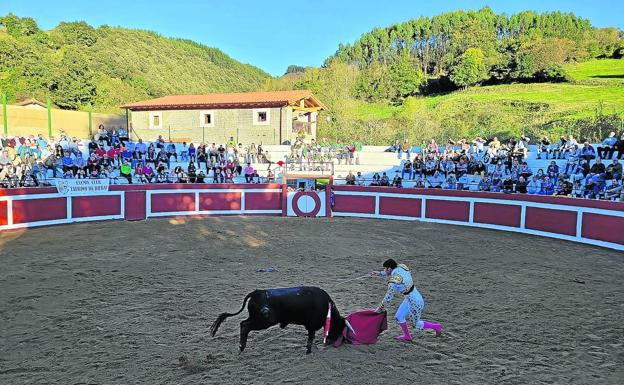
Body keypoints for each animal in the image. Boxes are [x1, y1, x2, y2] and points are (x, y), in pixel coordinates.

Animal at [210, 284, 354, 354]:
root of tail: (257, 292)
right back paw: (241, 347)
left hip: (256, 318)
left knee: (243, 323)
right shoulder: (312, 326)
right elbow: (310, 339)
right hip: (264, 321)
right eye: (339, 327)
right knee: (245, 326)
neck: (327, 307)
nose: (332, 341)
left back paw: (241, 346)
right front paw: (308, 351)